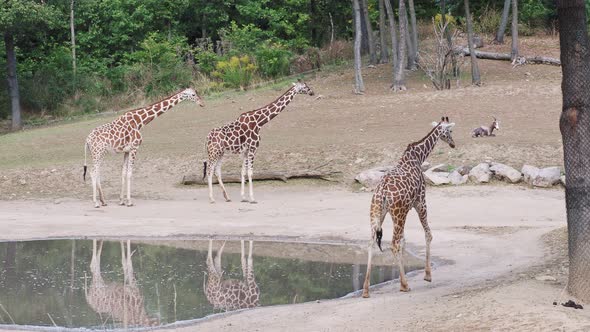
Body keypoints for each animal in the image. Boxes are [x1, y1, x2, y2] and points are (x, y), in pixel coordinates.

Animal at [360, 117, 458, 298]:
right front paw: (427, 275)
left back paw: (366, 290)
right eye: (450, 131)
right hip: (398, 214)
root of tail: (382, 192)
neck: (417, 157)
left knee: (372, 242)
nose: (453, 144)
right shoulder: (420, 202)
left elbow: (405, 241)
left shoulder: (407, 208)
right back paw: (405, 285)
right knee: (393, 244)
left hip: (378, 212)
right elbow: (428, 235)